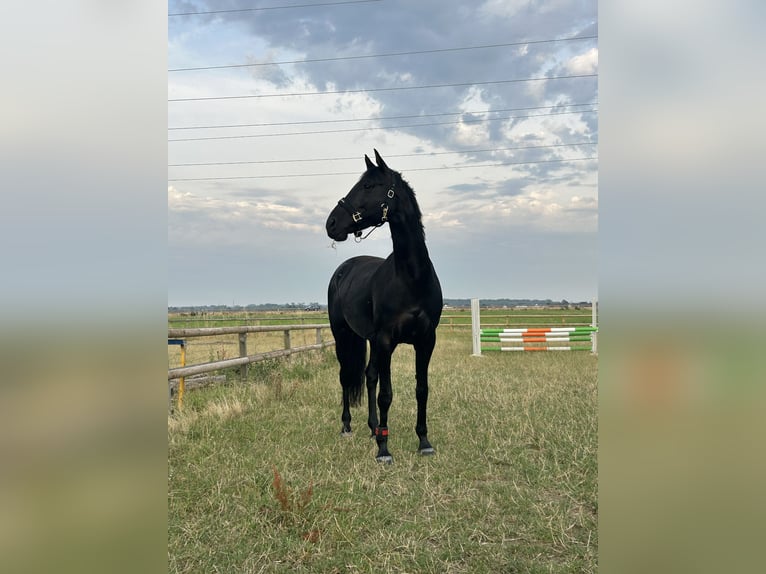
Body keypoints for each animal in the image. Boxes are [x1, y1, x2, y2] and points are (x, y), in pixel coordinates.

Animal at [326, 150, 444, 464]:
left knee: (369, 377)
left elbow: (421, 389)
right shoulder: (387, 340)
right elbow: (386, 394)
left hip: (370, 340)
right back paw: (348, 427)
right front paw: (384, 450)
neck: (412, 277)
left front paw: (423, 441)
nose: (331, 224)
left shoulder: (425, 340)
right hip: (343, 335)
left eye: (368, 186)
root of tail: (343, 269)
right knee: (346, 377)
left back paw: (373, 427)